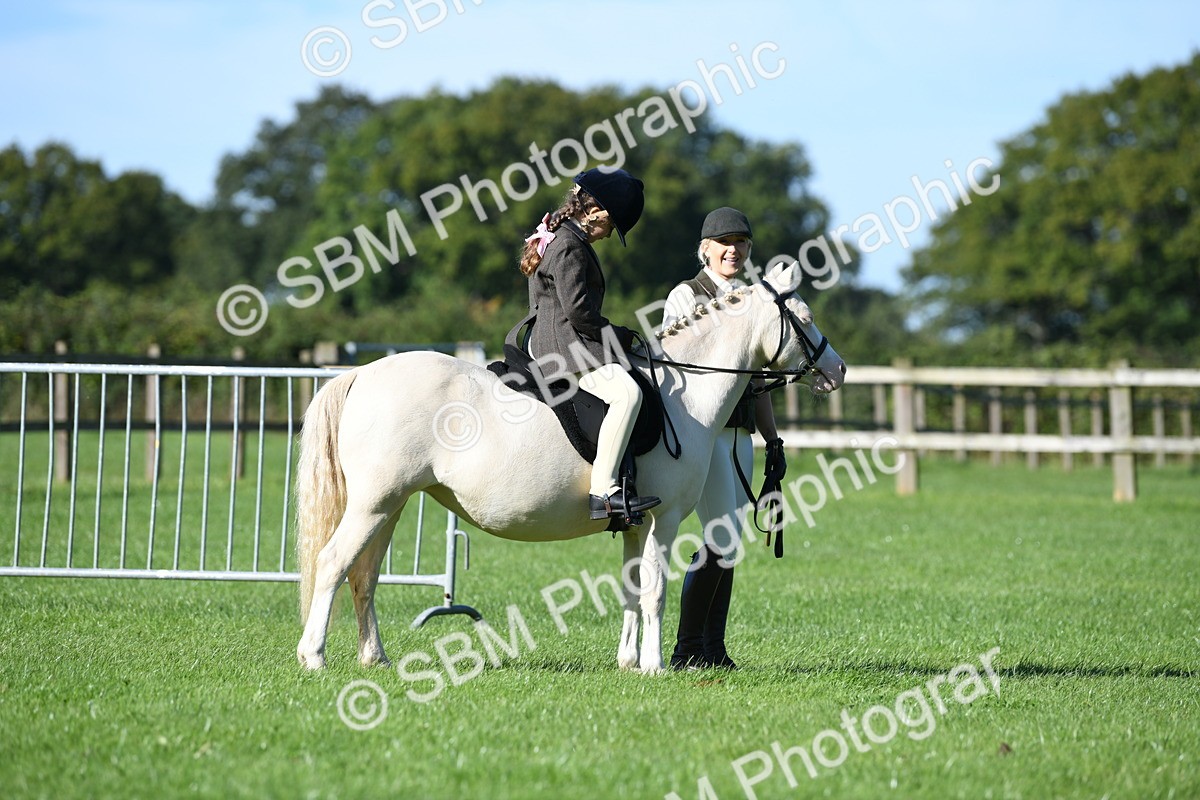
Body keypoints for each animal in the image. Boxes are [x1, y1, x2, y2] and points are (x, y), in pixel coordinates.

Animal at [295, 262, 846, 673]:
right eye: (805, 316)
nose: (837, 369)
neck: (681, 393)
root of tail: (364, 373)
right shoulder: (664, 520)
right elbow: (656, 591)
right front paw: (655, 667)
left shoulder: (635, 522)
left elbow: (631, 588)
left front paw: (628, 663)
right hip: (374, 505)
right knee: (334, 563)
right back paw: (314, 657)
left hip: (389, 507)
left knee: (364, 576)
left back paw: (375, 658)